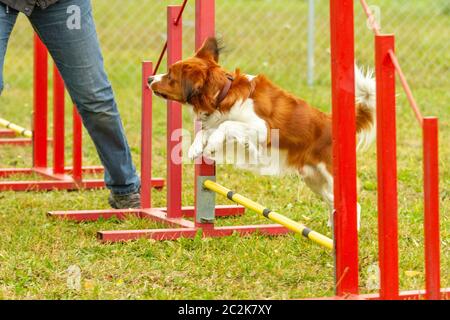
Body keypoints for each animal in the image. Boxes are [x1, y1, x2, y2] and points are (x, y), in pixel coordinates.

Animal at [149, 37, 376, 229]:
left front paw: (211, 145)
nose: (150, 78)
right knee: (332, 201)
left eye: (170, 75)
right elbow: (206, 131)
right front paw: (196, 148)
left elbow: (225, 126)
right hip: (314, 180)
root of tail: (330, 121)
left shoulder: (261, 128)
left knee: (353, 205)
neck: (223, 93)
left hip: (330, 176)